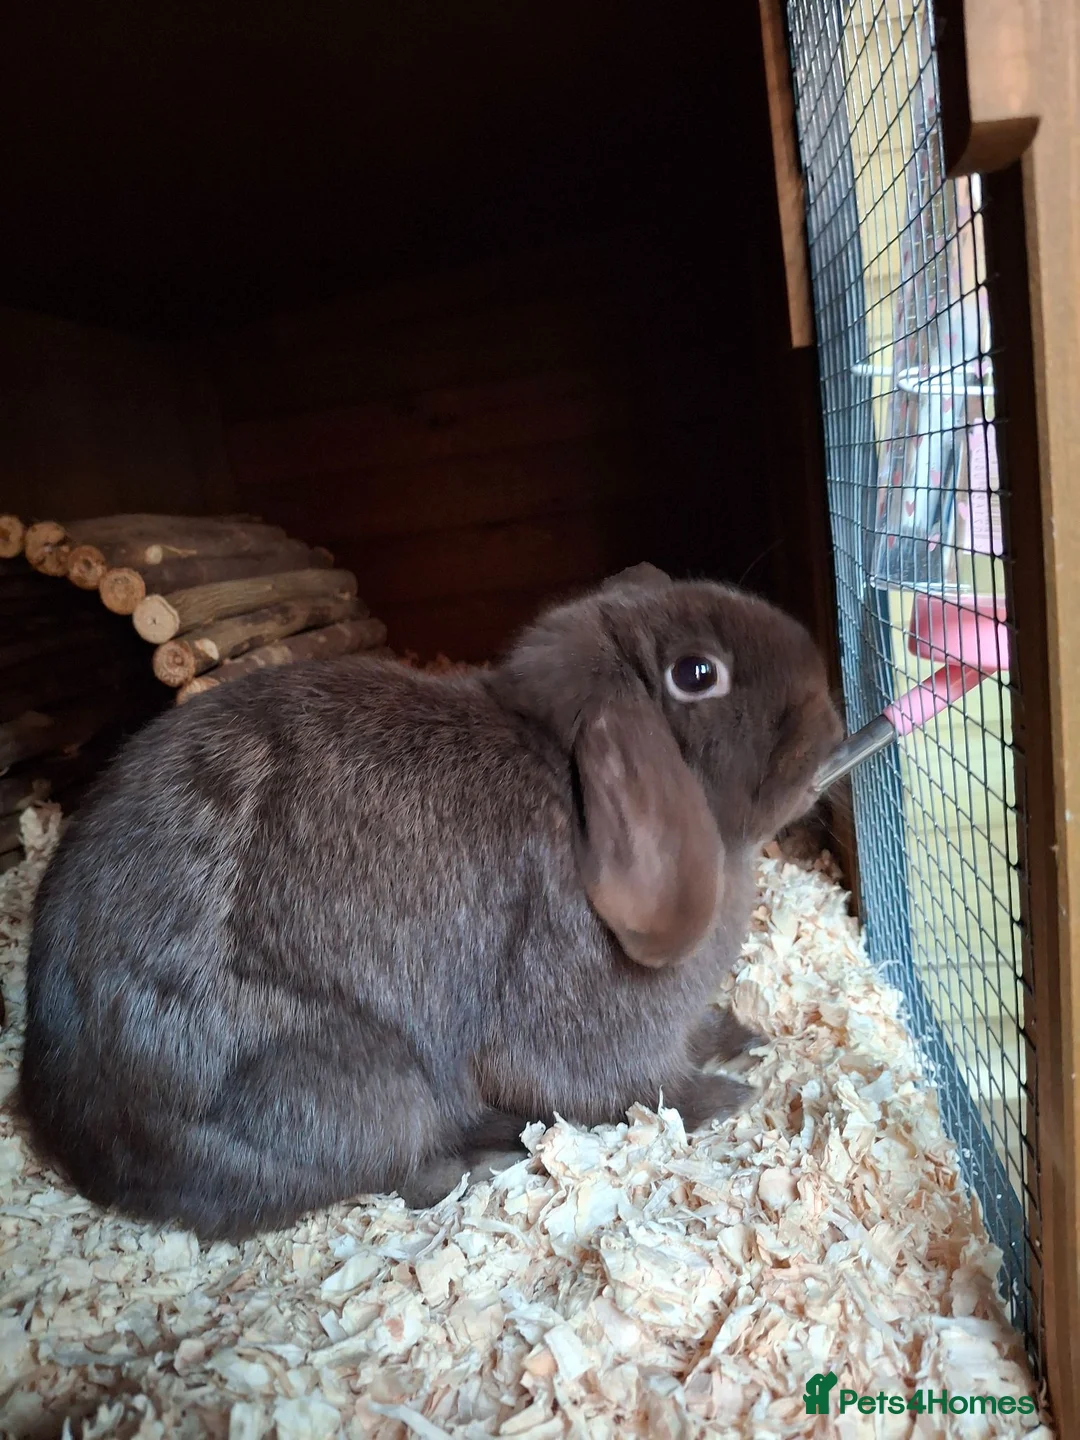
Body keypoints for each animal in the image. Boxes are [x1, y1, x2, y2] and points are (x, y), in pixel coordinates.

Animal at [19, 564, 842, 1239]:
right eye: (697, 673)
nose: (832, 729)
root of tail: (92, 1148)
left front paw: (741, 1034)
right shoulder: (578, 1022)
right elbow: (631, 1088)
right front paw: (725, 1100)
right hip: (363, 1089)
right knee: (399, 1173)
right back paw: (482, 1164)